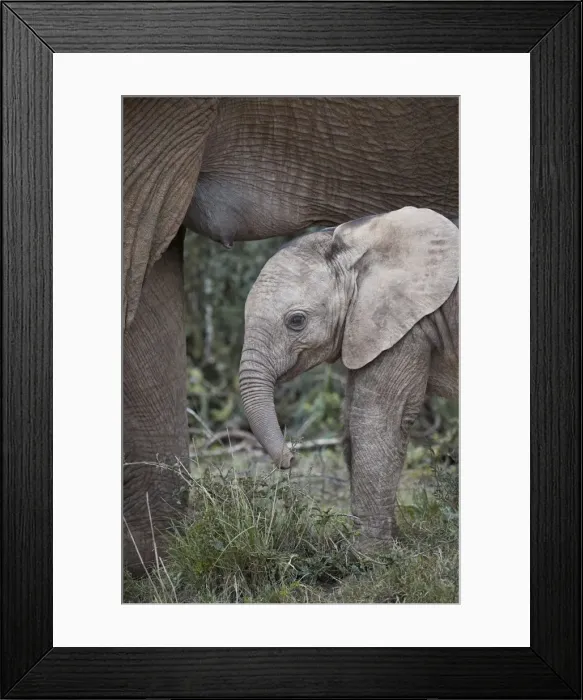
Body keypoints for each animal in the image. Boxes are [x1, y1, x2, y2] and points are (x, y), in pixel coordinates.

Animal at [239, 207, 459, 545]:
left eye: (296, 321)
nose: (291, 459)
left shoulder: (407, 323)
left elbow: (375, 417)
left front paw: (368, 553)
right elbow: (353, 416)